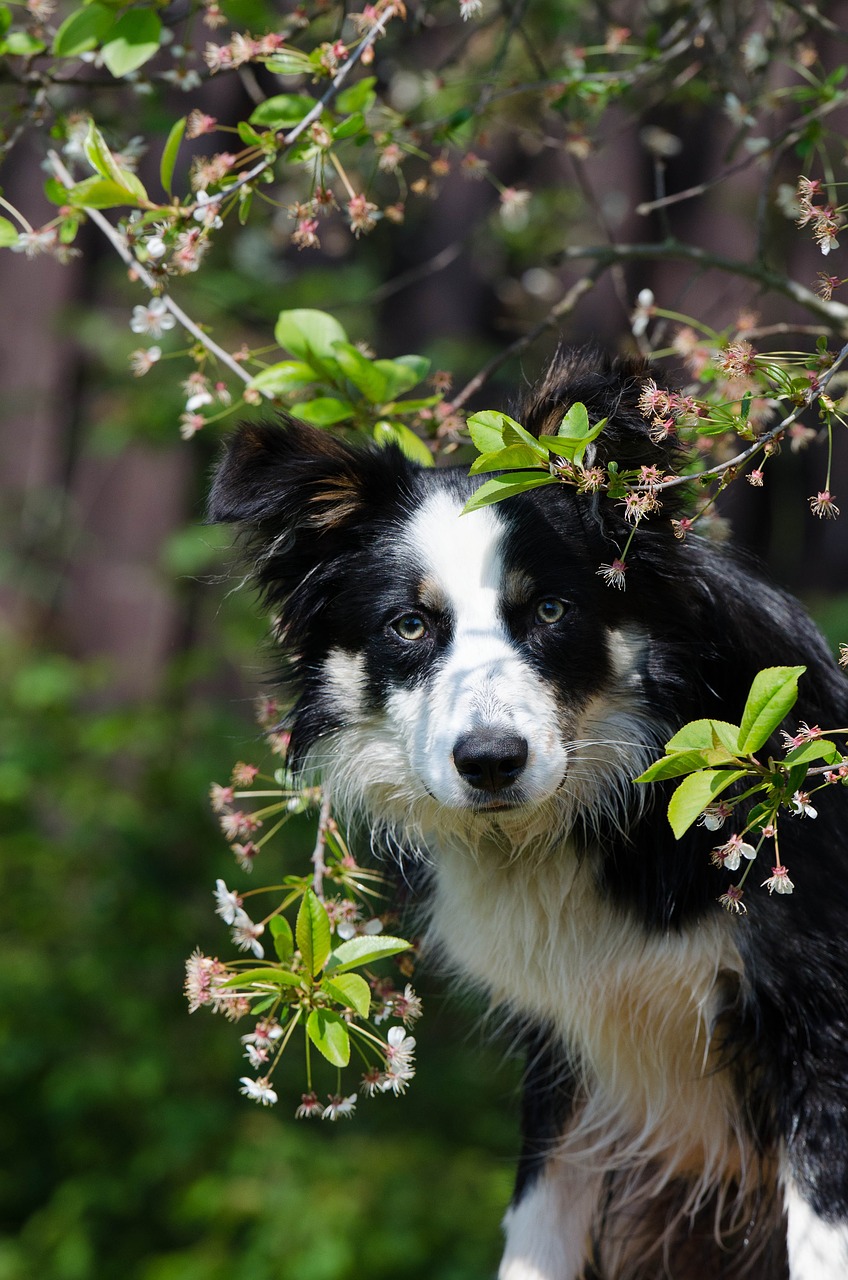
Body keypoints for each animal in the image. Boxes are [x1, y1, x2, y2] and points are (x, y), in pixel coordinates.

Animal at [208, 345, 848, 1274]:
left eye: (550, 609)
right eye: (409, 626)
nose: (490, 763)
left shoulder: (817, 1020)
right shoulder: (568, 1047)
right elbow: (536, 1226)